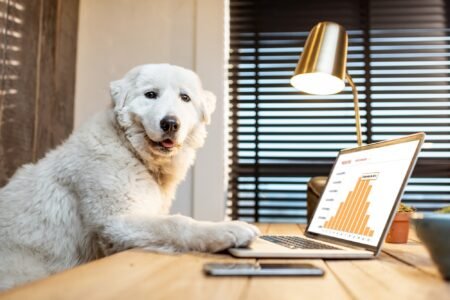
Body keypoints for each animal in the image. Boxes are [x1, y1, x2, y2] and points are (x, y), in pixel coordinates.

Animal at [0, 63, 260, 290]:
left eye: (185, 98)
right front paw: (229, 229)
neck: (130, 149)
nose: (170, 123)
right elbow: (176, 223)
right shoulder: (116, 222)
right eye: (151, 94)